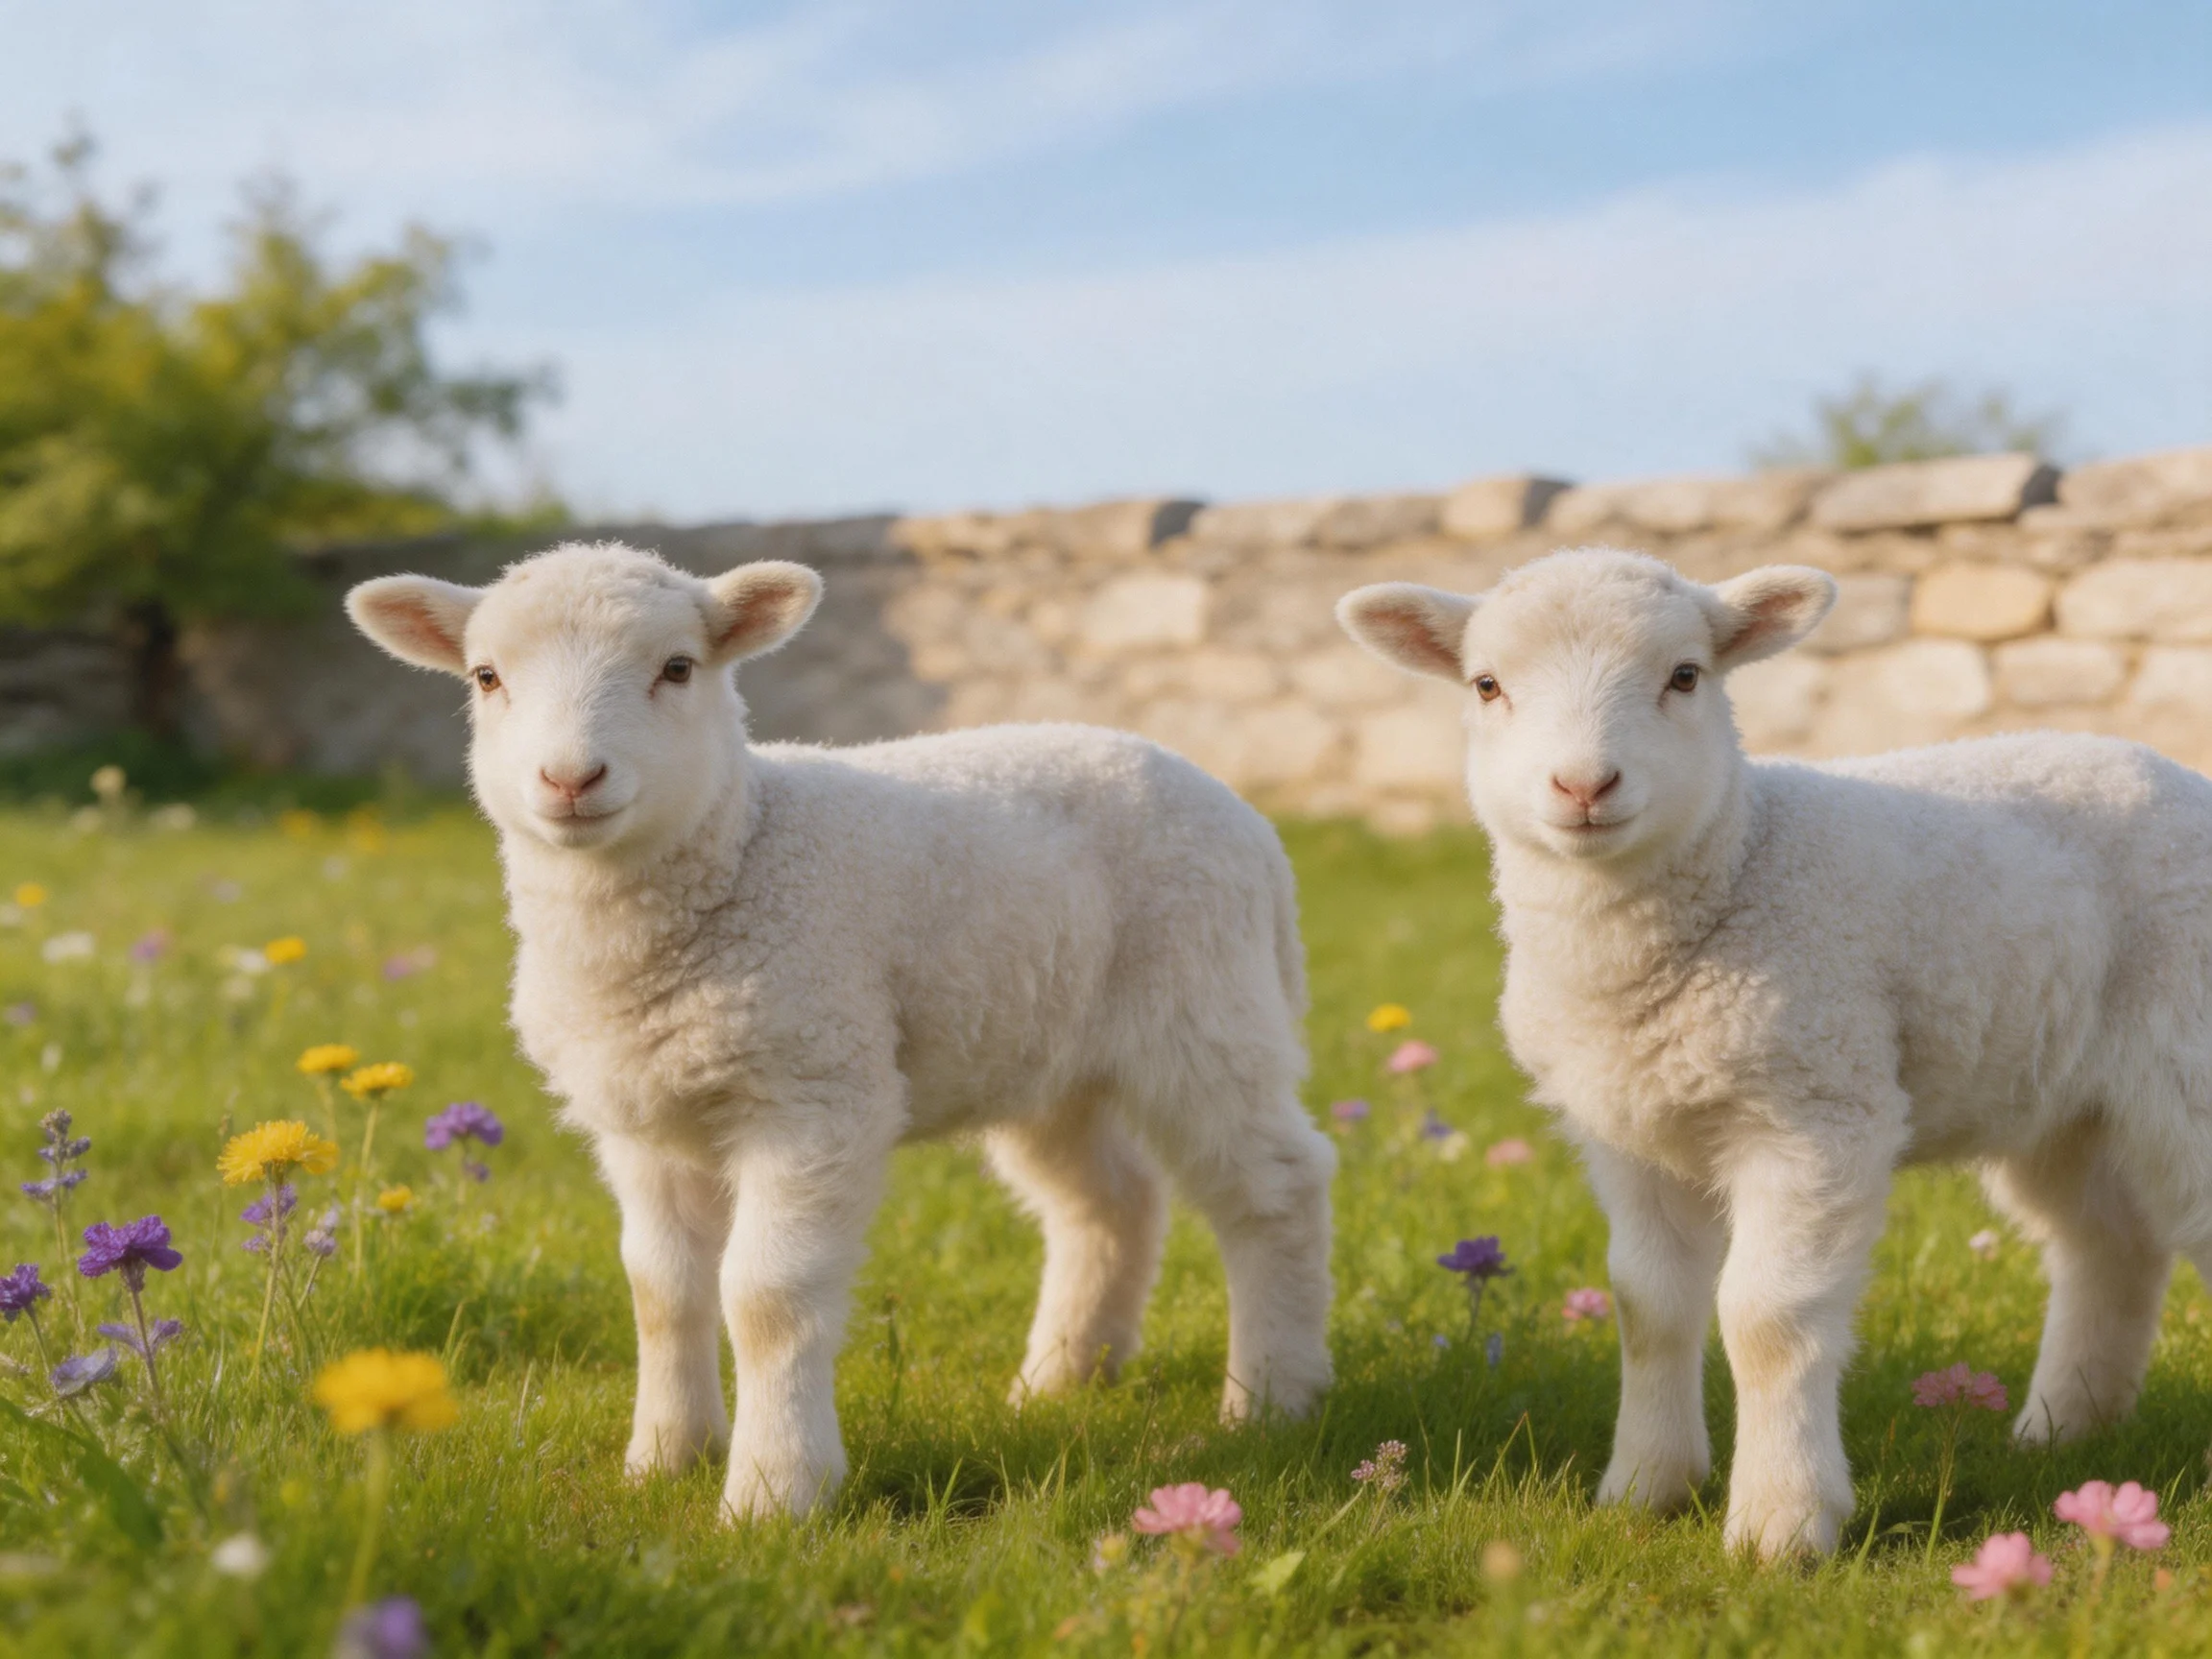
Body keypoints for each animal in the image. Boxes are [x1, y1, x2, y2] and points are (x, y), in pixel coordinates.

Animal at [344, 540, 1335, 1520]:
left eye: (678, 668)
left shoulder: (813, 1091)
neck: (740, 844)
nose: (570, 780)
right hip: (1044, 1052)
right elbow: (661, 1290)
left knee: (1276, 1187)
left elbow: (766, 1297)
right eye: (486, 677)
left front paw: (775, 1491)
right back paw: (1061, 1380)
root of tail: (1247, 822)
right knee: (1108, 1201)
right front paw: (664, 1458)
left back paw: (1274, 1398)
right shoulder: (643, 1119)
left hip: (1205, 1007)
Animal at [1338, 546, 2212, 1559]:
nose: (1584, 787)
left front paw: (1781, 1525)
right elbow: (1647, 1306)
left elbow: (1767, 1320)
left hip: (2184, 1062)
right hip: (2063, 1099)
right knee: (2110, 1245)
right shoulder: (1628, 1131)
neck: (1740, 857)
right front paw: (1645, 1487)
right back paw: (2064, 1430)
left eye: (1685, 676)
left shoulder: (1814, 1111)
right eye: (1487, 685)